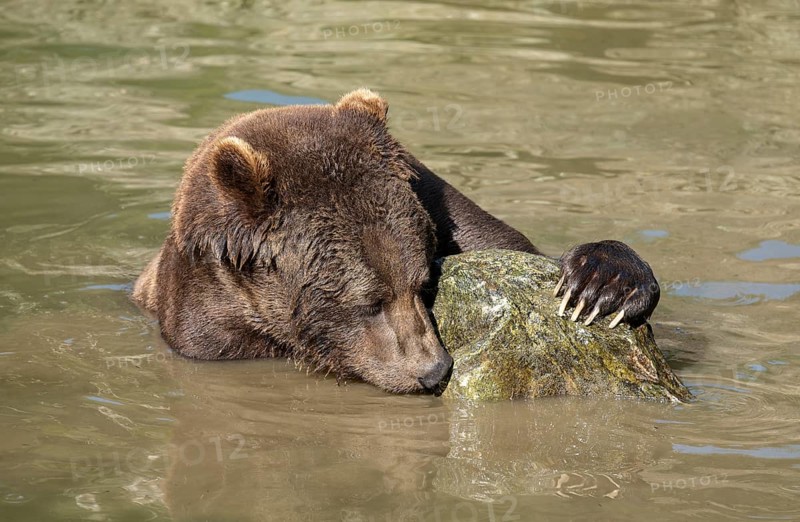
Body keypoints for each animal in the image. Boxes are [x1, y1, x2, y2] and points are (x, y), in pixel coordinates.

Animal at [132, 88, 659, 396]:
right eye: (368, 301)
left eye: (424, 283)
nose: (434, 371)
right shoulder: (210, 327)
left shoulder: (440, 207)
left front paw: (601, 283)